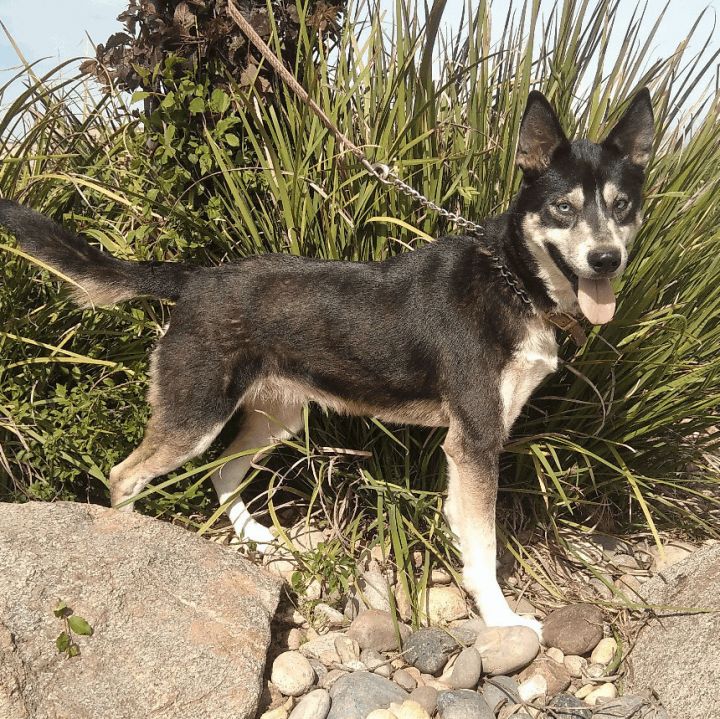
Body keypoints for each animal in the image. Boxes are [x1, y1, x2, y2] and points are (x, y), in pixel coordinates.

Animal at [0, 88, 652, 636]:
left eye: (622, 205)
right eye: (563, 208)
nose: (605, 259)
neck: (514, 280)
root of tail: (194, 278)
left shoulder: (471, 445)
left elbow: (470, 537)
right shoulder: (476, 441)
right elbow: (485, 550)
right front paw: (501, 620)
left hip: (276, 417)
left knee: (221, 474)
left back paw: (260, 540)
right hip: (196, 415)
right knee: (124, 476)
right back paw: (134, 540)